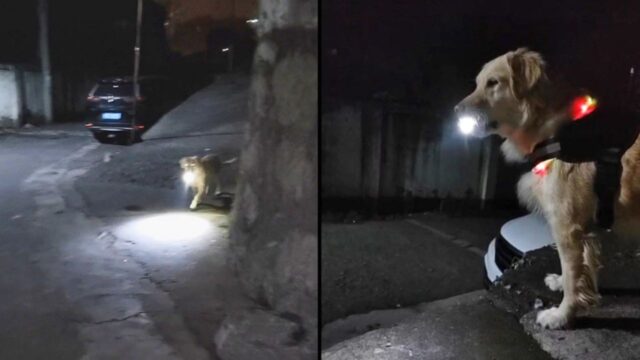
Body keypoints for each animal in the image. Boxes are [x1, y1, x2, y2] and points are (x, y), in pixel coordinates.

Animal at [456, 47, 640, 330]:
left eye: (493, 83)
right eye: (477, 83)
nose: (456, 111)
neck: (553, 132)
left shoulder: (568, 226)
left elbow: (573, 274)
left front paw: (562, 315)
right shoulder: (585, 227)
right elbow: (583, 266)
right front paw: (569, 286)